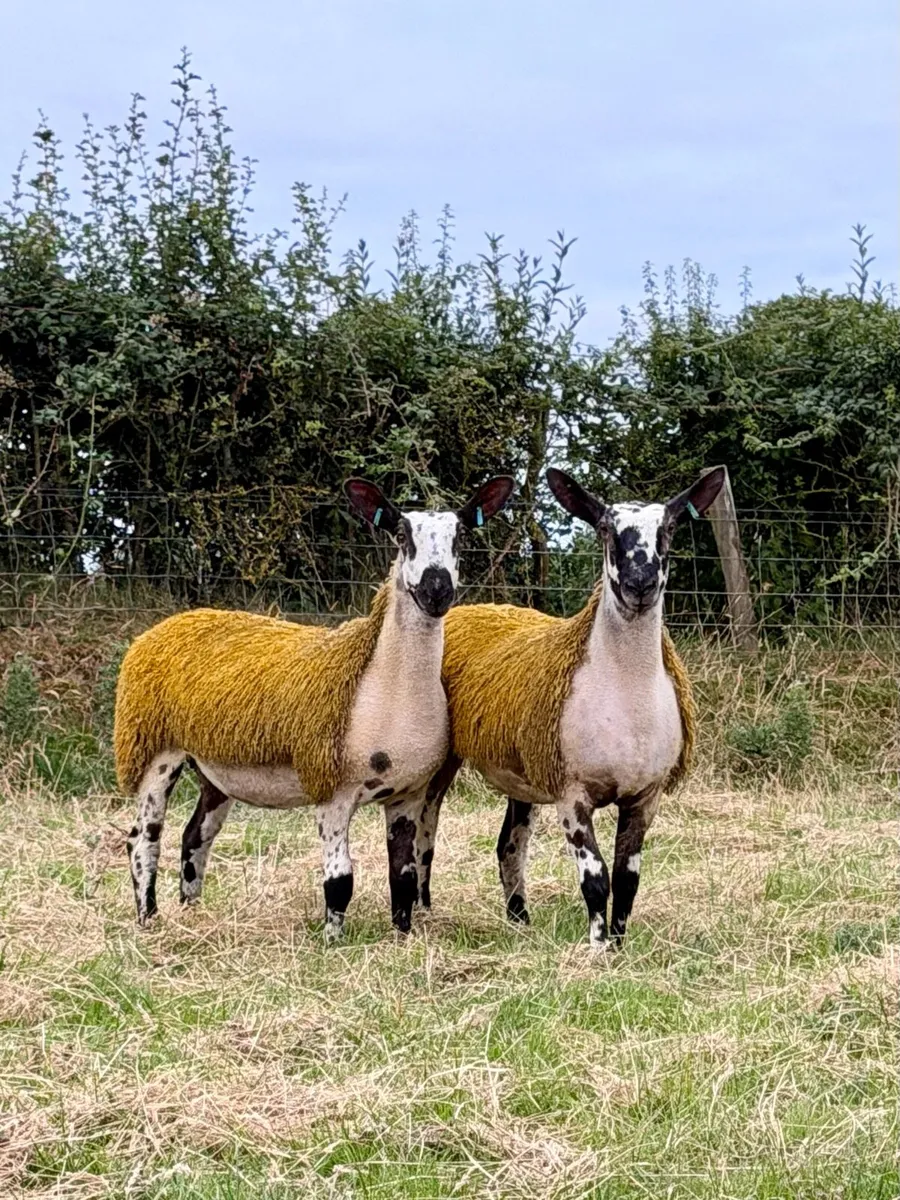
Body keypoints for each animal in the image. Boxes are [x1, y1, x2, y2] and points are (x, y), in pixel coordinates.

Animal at [114, 474, 514, 939]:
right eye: (400, 535)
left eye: (461, 536)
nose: (437, 591)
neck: (386, 690)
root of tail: (167, 625)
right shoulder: (332, 788)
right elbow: (340, 882)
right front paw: (332, 942)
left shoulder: (408, 793)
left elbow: (403, 876)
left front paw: (403, 937)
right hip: (154, 748)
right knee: (144, 840)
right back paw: (149, 919)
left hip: (214, 771)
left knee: (195, 837)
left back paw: (192, 914)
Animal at [425, 467, 725, 949]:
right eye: (603, 528)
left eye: (669, 528)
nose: (640, 584)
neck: (626, 700)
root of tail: (472, 609)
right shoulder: (572, 793)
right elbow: (596, 878)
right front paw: (598, 945)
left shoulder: (646, 796)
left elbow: (627, 879)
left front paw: (620, 943)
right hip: (441, 757)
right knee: (425, 830)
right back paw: (423, 910)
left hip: (526, 770)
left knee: (509, 846)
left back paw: (520, 920)